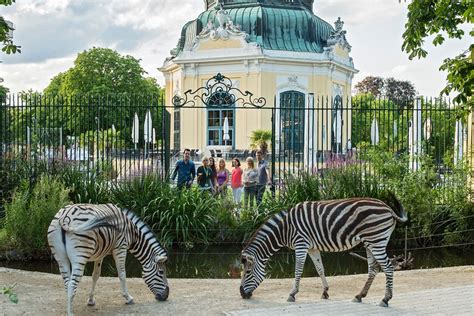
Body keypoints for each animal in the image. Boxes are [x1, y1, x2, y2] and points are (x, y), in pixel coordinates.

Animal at [241, 196, 408, 308]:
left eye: (247, 272)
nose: (242, 294)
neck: (285, 229)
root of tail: (389, 209)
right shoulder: (312, 247)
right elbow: (320, 269)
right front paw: (325, 292)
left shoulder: (301, 244)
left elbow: (298, 270)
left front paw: (292, 294)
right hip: (371, 242)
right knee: (373, 269)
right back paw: (359, 295)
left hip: (376, 241)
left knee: (388, 267)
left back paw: (385, 299)